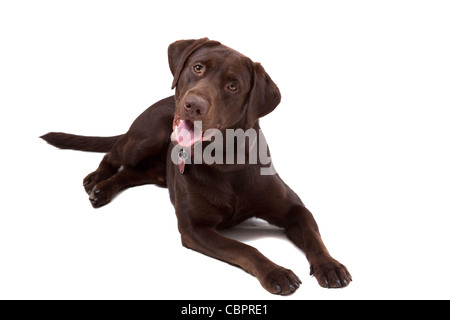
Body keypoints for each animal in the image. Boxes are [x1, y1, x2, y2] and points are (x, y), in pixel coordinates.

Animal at [41, 38, 352, 296]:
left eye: (232, 85)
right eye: (198, 67)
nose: (193, 104)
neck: (226, 159)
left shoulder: (294, 208)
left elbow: (314, 236)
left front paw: (330, 265)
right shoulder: (194, 228)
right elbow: (245, 247)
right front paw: (276, 272)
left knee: (133, 173)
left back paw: (104, 189)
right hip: (144, 137)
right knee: (114, 154)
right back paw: (98, 181)